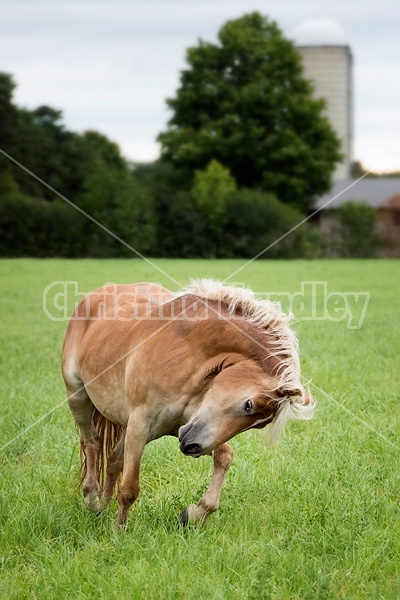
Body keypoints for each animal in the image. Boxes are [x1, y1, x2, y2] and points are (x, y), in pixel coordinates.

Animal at [61, 278, 314, 528]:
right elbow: (129, 489)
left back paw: (103, 508)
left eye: (260, 424)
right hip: (78, 397)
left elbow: (224, 457)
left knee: (114, 460)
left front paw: (193, 513)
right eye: (248, 405)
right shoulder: (141, 426)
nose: (192, 447)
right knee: (91, 443)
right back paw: (92, 499)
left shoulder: (184, 427)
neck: (185, 353)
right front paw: (119, 533)